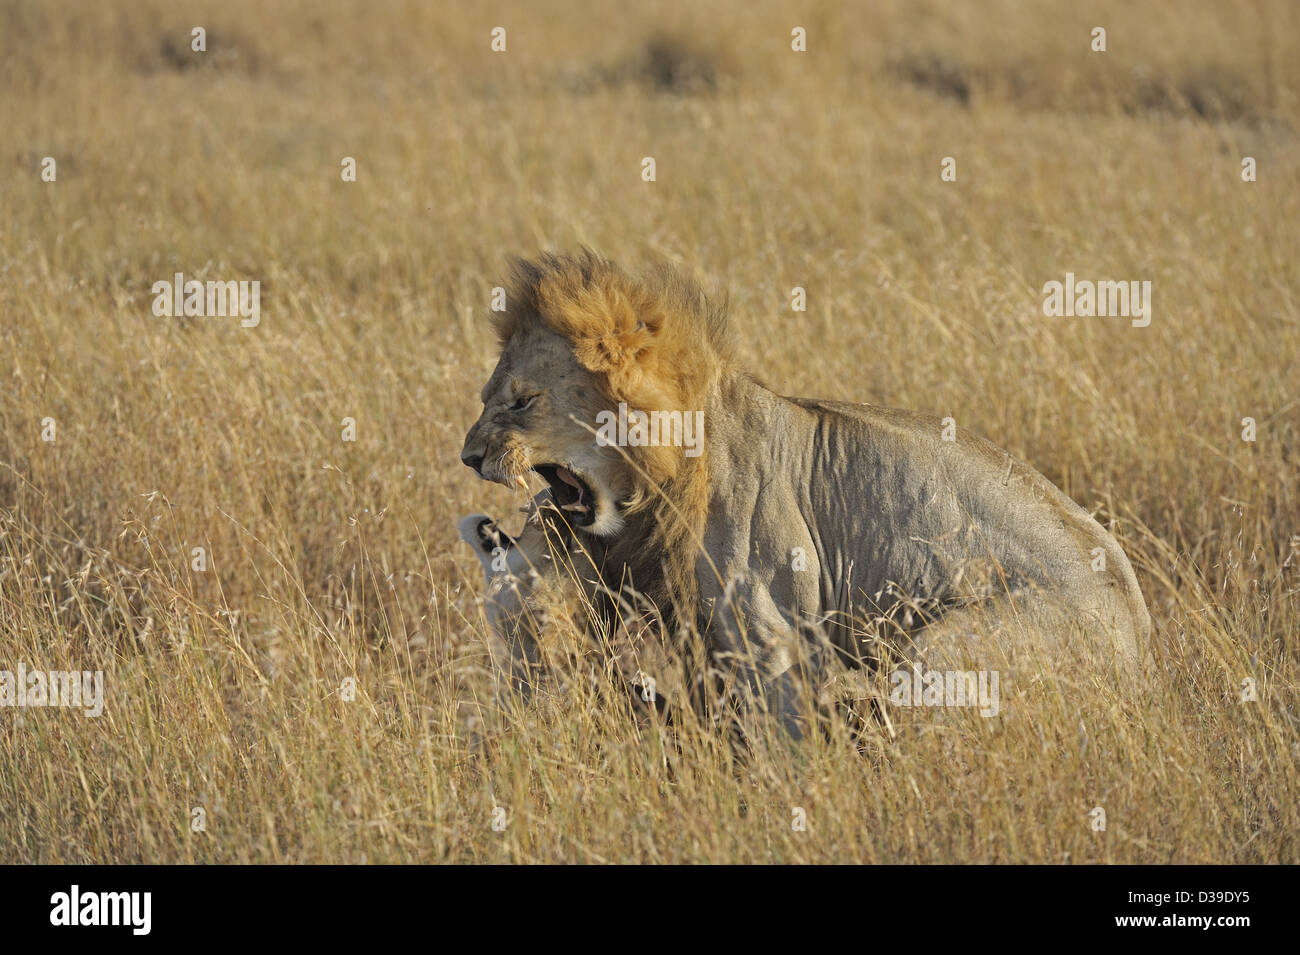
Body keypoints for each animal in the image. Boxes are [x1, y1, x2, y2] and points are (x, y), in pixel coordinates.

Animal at [461, 250, 1153, 737]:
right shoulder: (700, 637)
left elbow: (781, 740)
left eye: (522, 401)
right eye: (484, 397)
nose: (469, 457)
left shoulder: (772, 635)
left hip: (938, 645)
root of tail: (1145, 653)